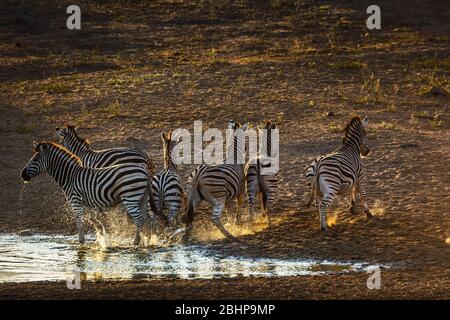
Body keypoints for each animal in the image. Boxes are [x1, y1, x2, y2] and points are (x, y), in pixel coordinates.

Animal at [20, 141, 151, 245]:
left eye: (35, 160)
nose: (22, 175)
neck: (70, 176)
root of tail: (144, 170)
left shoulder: (75, 201)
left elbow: (79, 222)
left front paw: (81, 242)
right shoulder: (88, 203)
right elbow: (94, 219)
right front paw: (101, 235)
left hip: (130, 197)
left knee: (139, 219)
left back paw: (136, 242)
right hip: (141, 198)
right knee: (146, 218)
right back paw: (148, 240)